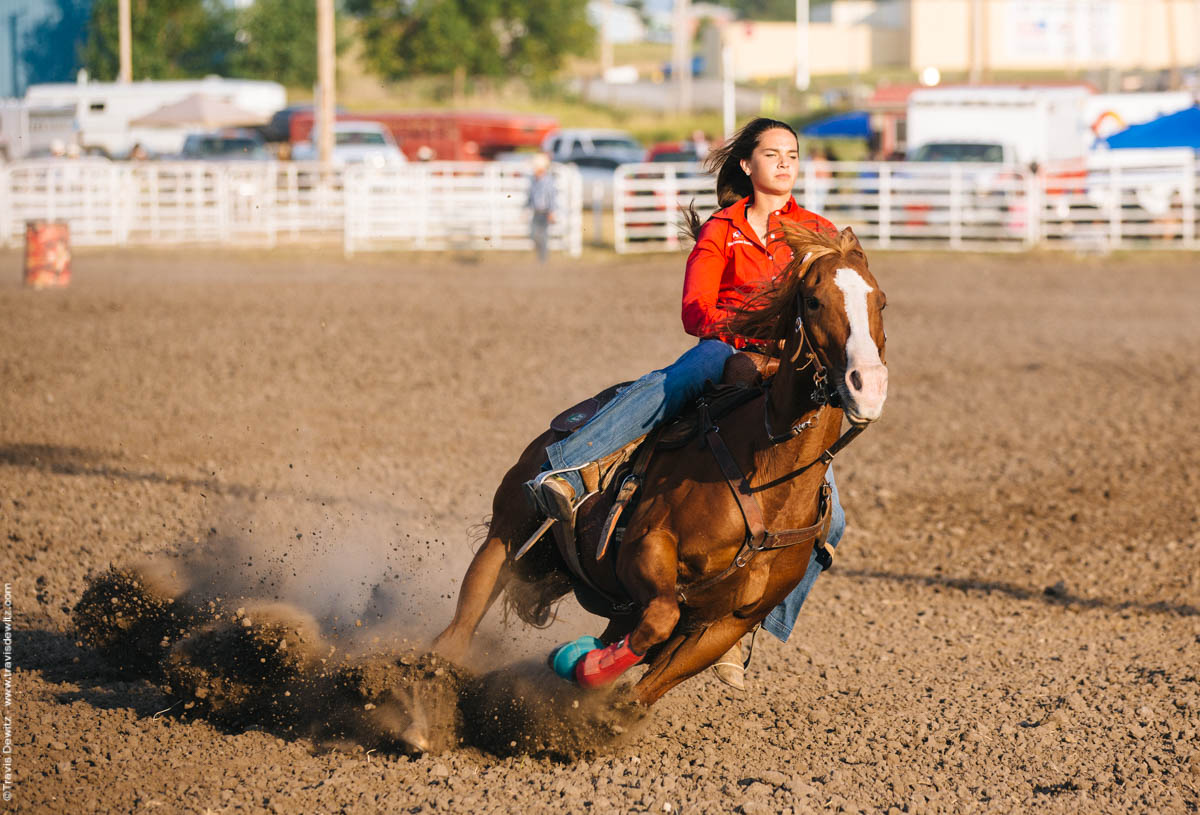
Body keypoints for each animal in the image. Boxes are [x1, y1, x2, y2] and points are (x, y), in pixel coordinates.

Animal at [436, 226, 888, 710]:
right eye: (814, 300)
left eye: (880, 301)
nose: (868, 386)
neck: (767, 475)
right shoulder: (647, 545)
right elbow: (662, 616)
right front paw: (587, 667)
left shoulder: (729, 622)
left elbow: (644, 690)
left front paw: (594, 691)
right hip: (508, 528)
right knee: (467, 613)